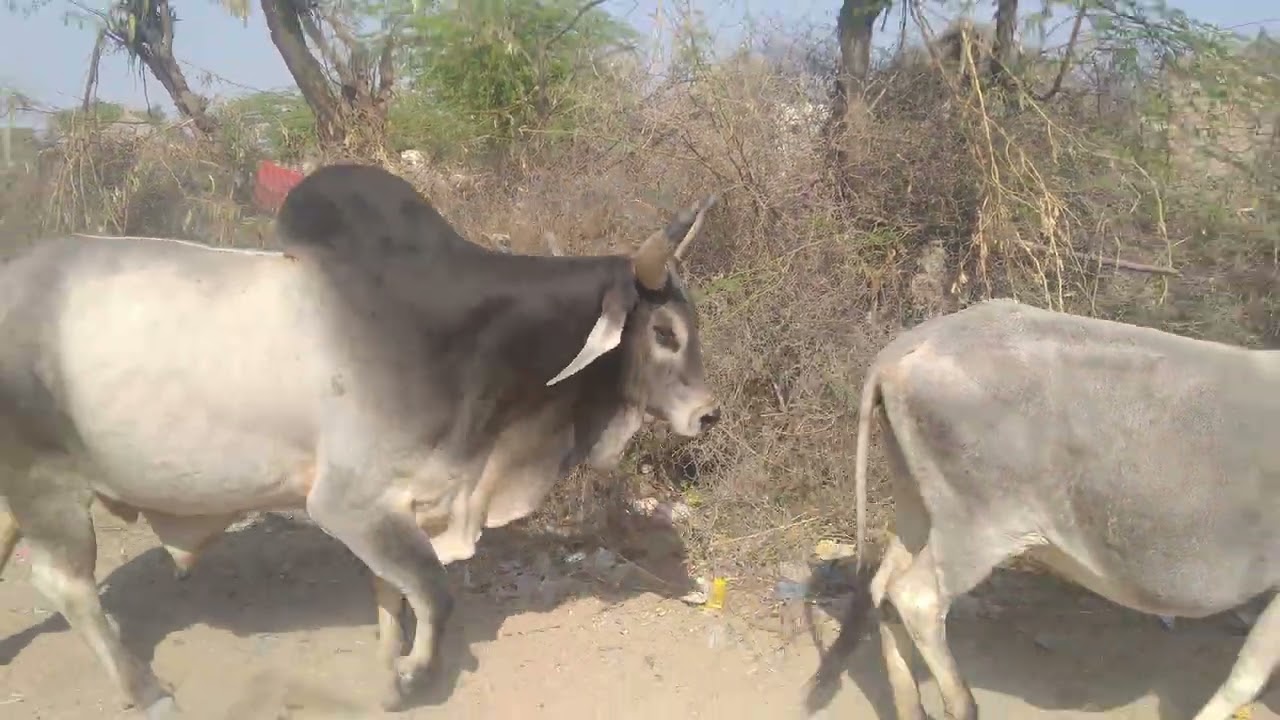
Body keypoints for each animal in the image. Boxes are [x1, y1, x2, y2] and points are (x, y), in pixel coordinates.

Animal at [0, 162, 722, 717]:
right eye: (665, 333)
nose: (709, 415)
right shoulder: (346, 502)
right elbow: (433, 592)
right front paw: (408, 678)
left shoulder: (398, 499)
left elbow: (392, 589)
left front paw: (388, 657)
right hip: (46, 480)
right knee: (66, 587)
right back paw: (145, 688)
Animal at [806, 298, 1279, 720]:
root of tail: (914, 342)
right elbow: (1248, 673)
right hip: (979, 526)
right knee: (916, 597)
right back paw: (963, 706)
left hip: (918, 506)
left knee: (883, 588)